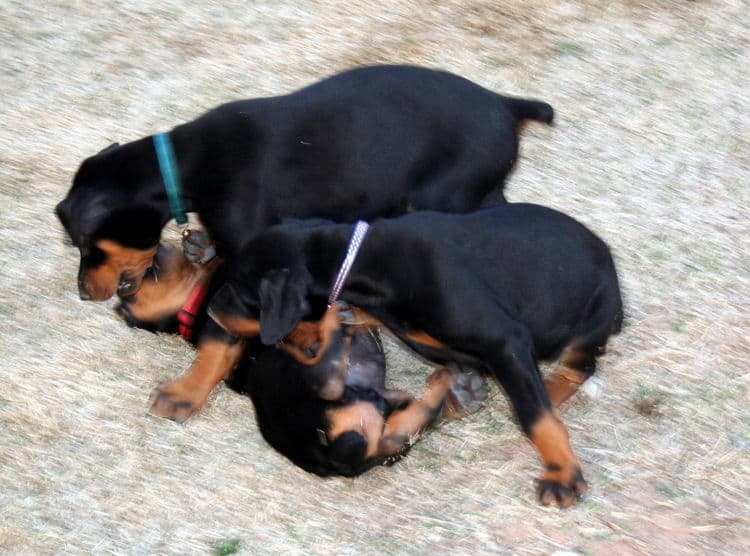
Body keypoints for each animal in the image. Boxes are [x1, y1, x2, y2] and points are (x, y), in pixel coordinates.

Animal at [209, 205, 624, 508]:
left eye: (240, 291)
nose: (211, 311)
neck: (361, 261)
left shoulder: (504, 340)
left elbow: (535, 416)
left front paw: (562, 475)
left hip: (590, 320)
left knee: (576, 368)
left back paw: (546, 393)